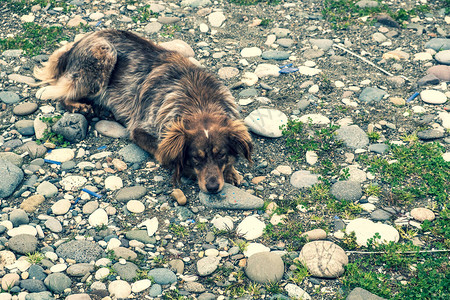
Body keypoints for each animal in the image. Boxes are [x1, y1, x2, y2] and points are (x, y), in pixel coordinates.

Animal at [34, 29, 253, 193]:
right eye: (195, 158)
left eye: (221, 155)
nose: (213, 188)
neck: (200, 104)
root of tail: (74, 45)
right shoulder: (140, 129)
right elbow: (163, 152)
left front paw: (231, 171)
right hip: (104, 54)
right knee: (61, 93)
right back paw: (81, 107)